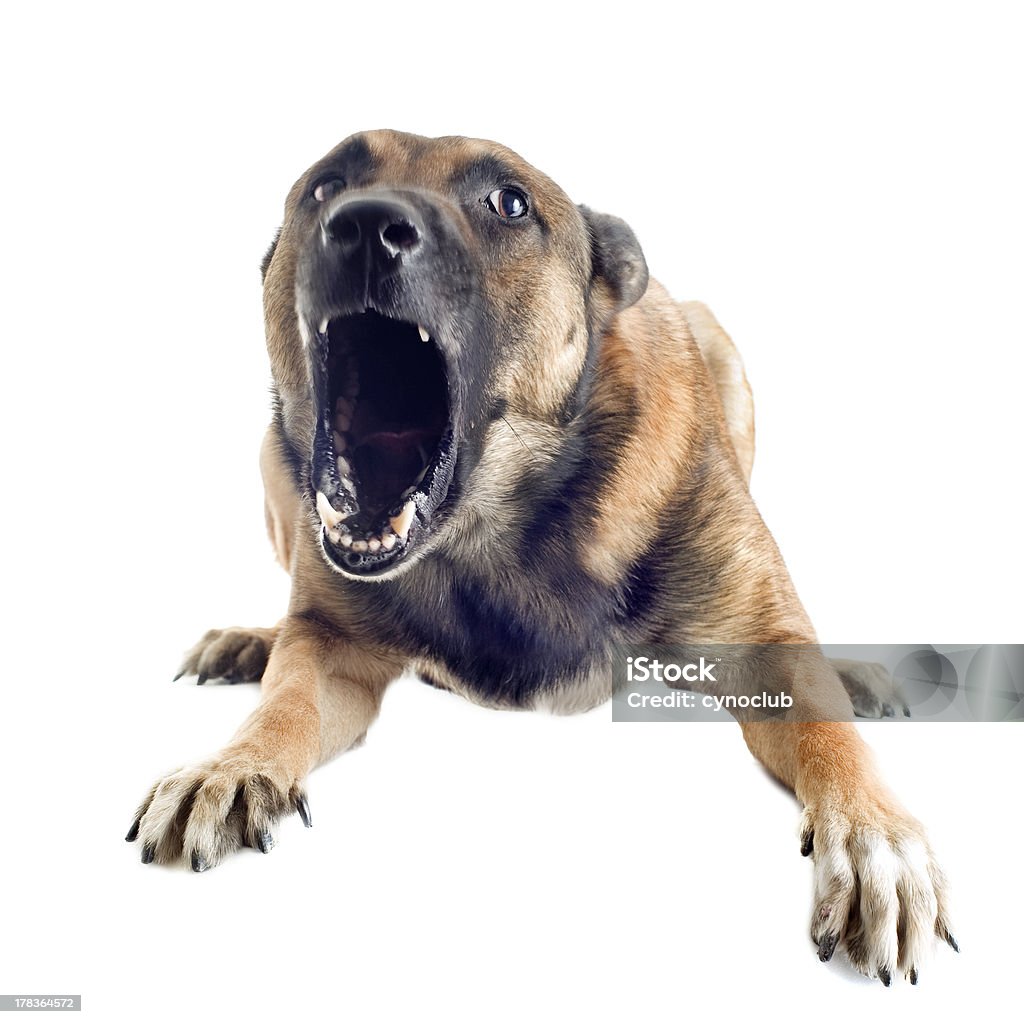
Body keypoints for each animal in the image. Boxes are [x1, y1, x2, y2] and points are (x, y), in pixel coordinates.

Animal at [125, 130, 950, 983]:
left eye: (509, 202)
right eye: (324, 186)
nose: (364, 226)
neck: (497, 529)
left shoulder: (766, 643)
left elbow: (827, 730)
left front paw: (874, 837)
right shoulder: (331, 643)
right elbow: (288, 699)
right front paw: (233, 763)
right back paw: (251, 641)